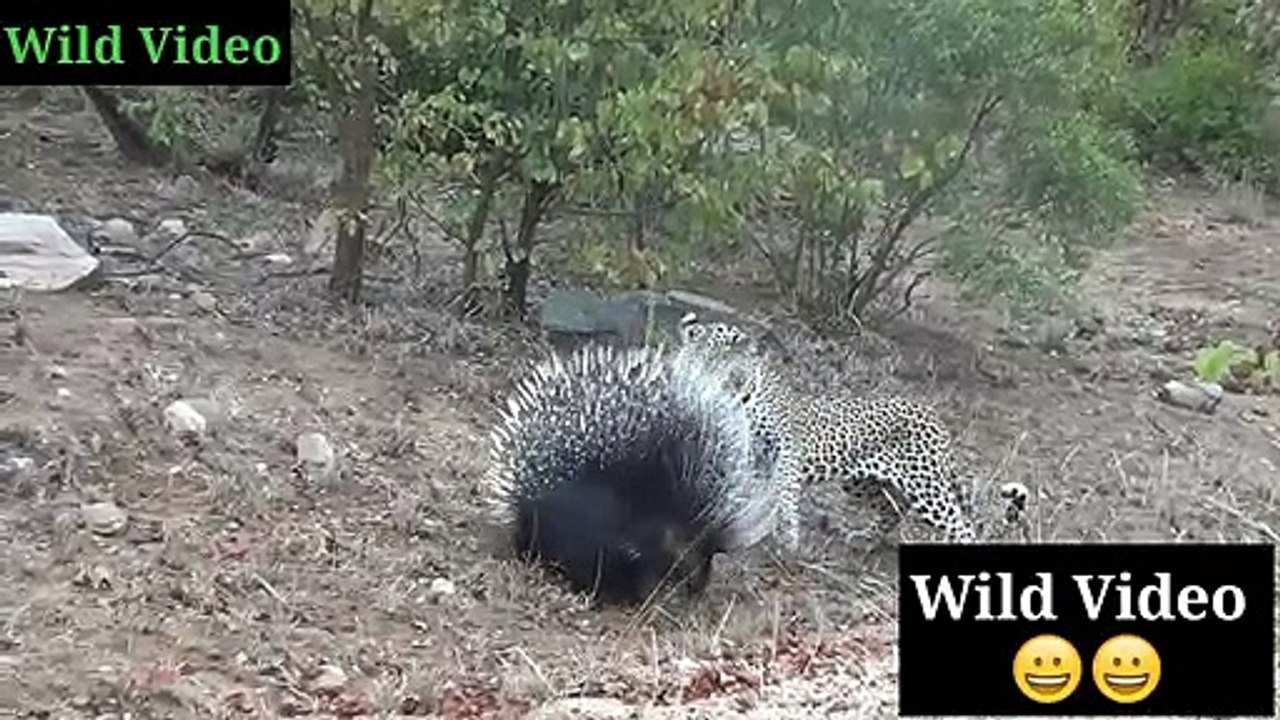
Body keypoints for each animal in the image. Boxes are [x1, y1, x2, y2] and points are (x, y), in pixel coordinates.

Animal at [675, 312, 978, 547]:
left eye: (733, 363)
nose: (728, 382)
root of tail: (934, 417)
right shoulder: (750, 451)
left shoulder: (788, 449)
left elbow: (785, 491)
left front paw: (789, 537)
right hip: (861, 480)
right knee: (894, 509)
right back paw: (864, 537)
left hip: (925, 483)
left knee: (961, 524)